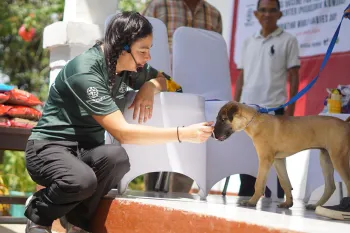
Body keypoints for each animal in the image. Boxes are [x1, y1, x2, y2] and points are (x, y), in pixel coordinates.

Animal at [213, 101, 350, 209]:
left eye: (223, 119)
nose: (213, 135)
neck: (254, 122)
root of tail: (345, 124)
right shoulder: (278, 160)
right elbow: (285, 182)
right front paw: (288, 203)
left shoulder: (265, 159)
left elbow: (259, 182)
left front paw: (251, 202)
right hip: (326, 158)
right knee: (330, 186)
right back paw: (315, 206)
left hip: (339, 158)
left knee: (347, 182)